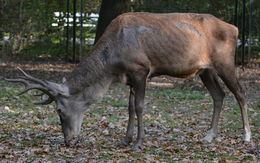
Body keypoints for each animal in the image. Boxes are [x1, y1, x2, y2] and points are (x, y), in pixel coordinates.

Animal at [4, 12, 252, 150]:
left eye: (59, 109)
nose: (69, 141)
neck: (112, 65)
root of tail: (235, 28)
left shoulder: (141, 69)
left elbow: (140, 107)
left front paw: (138, 143)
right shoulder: (129, 77)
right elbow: (130, 108)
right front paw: (124, 140)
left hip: (224, 61)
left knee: (240, 93)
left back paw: (247, 136)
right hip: (204, 69)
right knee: (219, 95)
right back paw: (208, 136)